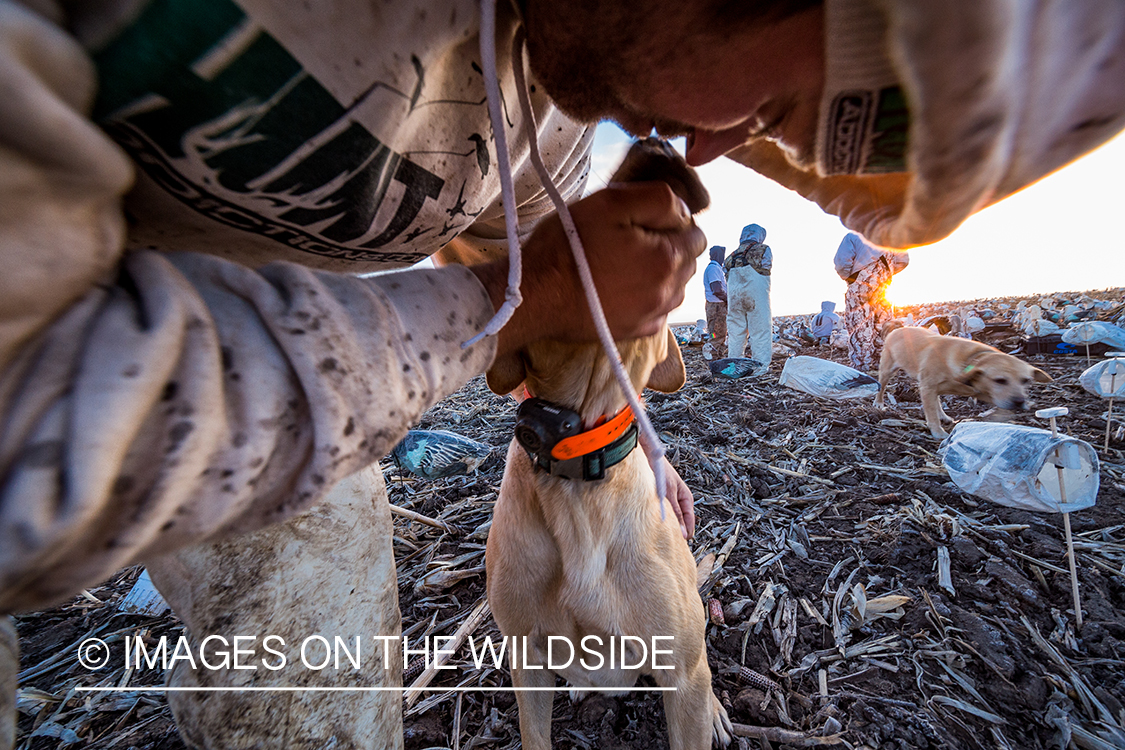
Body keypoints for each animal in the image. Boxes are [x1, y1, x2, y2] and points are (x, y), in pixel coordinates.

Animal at [873, 323, 1048, 440]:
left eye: (1026, 380)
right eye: (1000, 380)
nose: (1019, 401)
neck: (972, 360)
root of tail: (898, 329)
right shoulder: (928, 387)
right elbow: (931, 414)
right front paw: (938, 432)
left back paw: (943, 415)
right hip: (887, 369)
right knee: (882, 387)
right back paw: (879, 403)